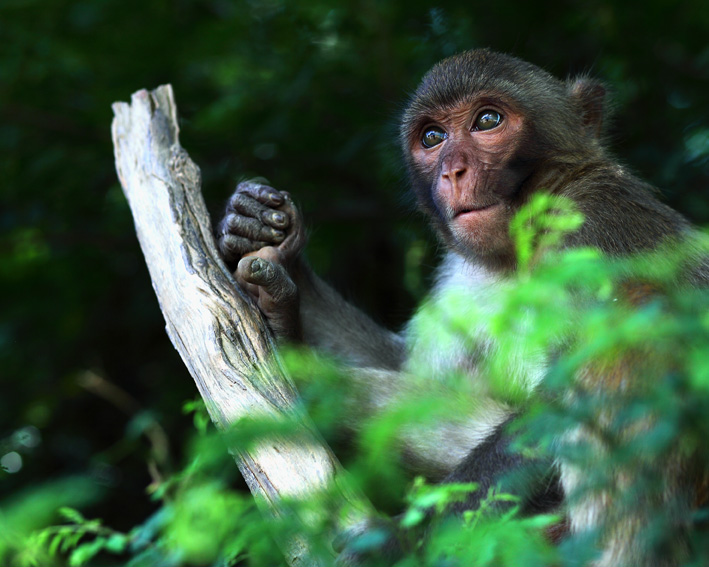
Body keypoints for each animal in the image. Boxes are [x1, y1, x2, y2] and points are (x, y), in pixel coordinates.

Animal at [217, 51, 708, 564]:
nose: (452, 171)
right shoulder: (459, 275)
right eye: (432, 137)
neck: (518, 250)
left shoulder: (598, 227)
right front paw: (272, 253)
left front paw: (398, 542)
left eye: (487, 120)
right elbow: (414, 373)